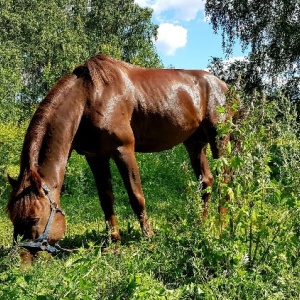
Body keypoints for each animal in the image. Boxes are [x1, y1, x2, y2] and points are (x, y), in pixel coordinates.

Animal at [6, 55, 230, 262]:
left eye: (34, 218)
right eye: (12, 217)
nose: (20, 261)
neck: (88, 97)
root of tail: (223, 86)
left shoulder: (124, 150)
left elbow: (136, 197)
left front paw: (149, 239)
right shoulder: (96, 157)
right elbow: (106, 199)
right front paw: (112, 242)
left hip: (219, 139)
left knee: (226, 180)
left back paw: (224, 222)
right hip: (195, 144)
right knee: (206, 182)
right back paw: (200, 223)